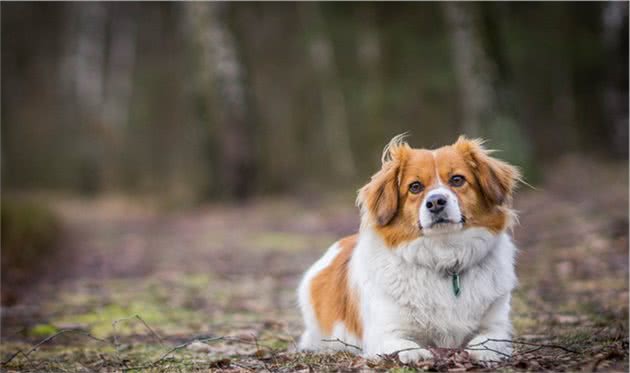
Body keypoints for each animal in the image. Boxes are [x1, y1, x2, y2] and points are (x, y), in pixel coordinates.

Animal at [298, 134, 520, 360]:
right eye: (415, 186)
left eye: (457, 180)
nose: (436, 202)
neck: (445, 256)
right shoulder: (385, 332)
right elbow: (405, 344)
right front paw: (417, 353)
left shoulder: (496, 326)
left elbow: (488, 341)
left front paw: (483, 353)